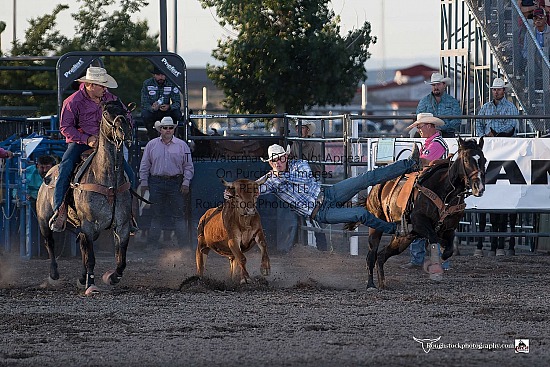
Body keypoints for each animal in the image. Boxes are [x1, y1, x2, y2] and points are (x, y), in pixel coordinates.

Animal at [36, 100, 135, 296]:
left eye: (125, 111)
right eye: (106, 113)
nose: (123, 131)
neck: (107, 180)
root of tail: (48, 173)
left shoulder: (122, 226)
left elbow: (121, 260)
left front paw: (111, 277)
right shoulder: (89, 225)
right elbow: (91, 258)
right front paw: (92, 286)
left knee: (81, 247)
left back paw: (82, 278)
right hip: (44, 219)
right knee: (50, 242)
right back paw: (54, 275)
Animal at [356, 138, 486, 290]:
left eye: (484, 159)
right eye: (465, 159)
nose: (479, 187)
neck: (445, 191)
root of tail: (376, 188)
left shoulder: (449, 228)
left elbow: (448, 249)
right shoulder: (419, 223)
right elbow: (435, 239)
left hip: (403, 238)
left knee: (382, 255)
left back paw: (383, 283)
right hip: (375, 226)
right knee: (371, 255)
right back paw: (371, 285)